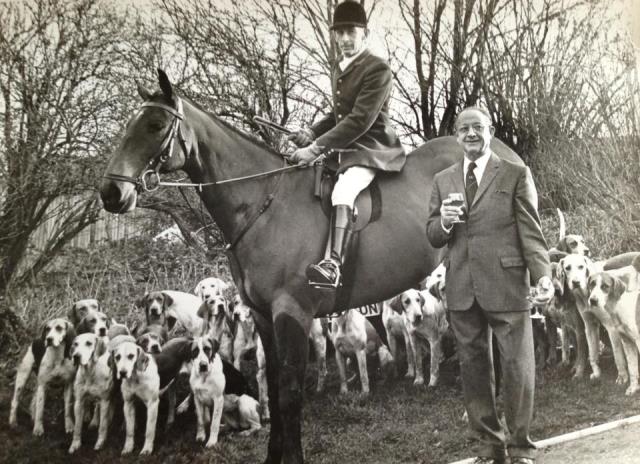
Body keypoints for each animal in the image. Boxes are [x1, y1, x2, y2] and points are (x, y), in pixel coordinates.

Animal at [99, 67, 520, 462]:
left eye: (155, 125)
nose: (110, 193)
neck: (263, 203)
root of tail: (501, 148)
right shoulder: (263, 315)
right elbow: (275, 390)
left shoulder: (293, 313)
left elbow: (289, 393)